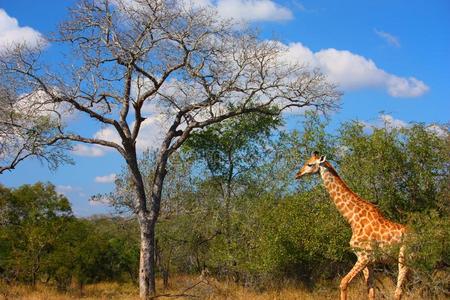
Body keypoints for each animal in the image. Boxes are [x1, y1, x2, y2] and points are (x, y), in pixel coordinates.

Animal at [296, 152, 408, 300]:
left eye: (310, 164)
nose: (297, 174)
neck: (352, 219)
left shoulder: (364, 256)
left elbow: (343, 283)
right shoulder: (367, 260)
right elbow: (371, 292)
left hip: (404, 256)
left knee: (398, 291)